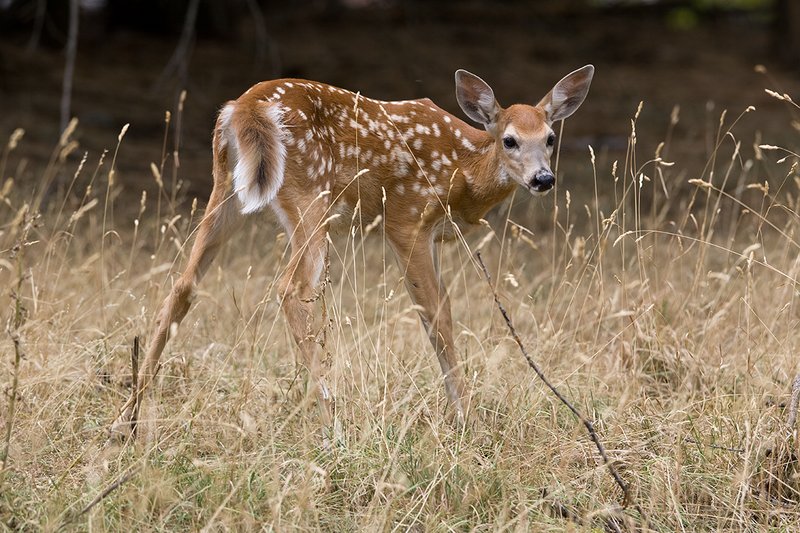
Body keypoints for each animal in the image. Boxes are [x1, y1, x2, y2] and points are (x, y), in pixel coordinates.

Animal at [110, 65, 594, 439]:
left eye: (550, 137)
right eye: (510, 140)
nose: (543, 179)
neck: (462, 170)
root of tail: (244, 107)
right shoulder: (406, 219)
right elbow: (438, 315)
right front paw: (465, 419)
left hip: (225, 189)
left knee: (184, 284)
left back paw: (126, 420)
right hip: (310, 196)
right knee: (291, 289)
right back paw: (334, 420)